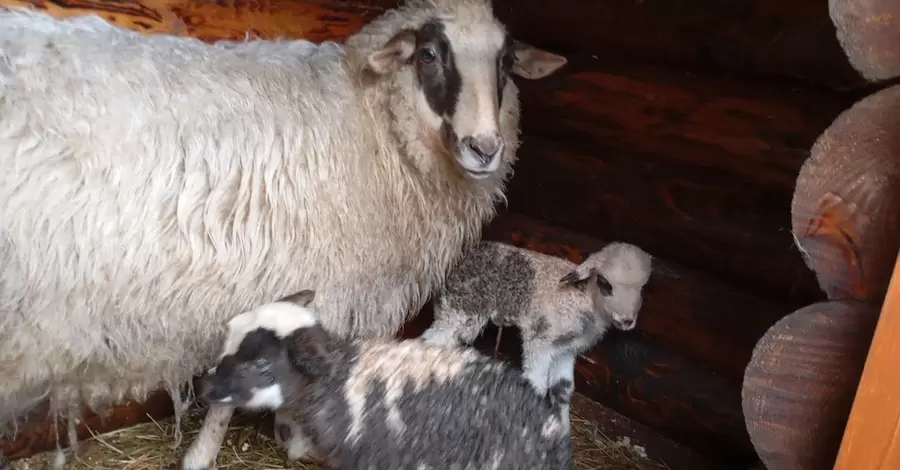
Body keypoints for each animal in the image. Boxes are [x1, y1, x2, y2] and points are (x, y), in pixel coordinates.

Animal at [418, 242, 652, 430]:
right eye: (605, 283)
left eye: (642, 289)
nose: (627, 321)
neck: (583, 299)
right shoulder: (540, 339)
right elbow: (537, 386)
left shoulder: (567, 349)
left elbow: (562, 390)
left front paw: (562, 431)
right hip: (460, 309)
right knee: (430, 341)